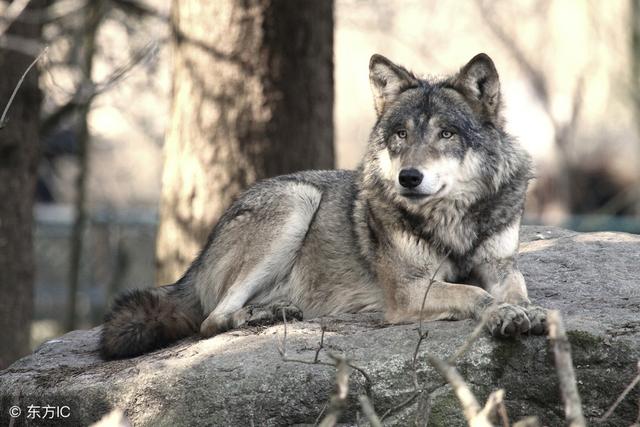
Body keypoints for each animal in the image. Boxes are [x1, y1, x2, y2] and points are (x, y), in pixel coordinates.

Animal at [100, 53, 544, 362]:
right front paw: (502, 314)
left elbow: (516, 291)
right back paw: (259, 315)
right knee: (211, 319)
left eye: (447, 134)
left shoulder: (501, 265)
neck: (454, 219)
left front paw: (529, 312)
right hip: (297, 200)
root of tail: (196, 261)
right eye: (400, 134)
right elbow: (473, 293)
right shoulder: (408, 290)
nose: (409, 178)